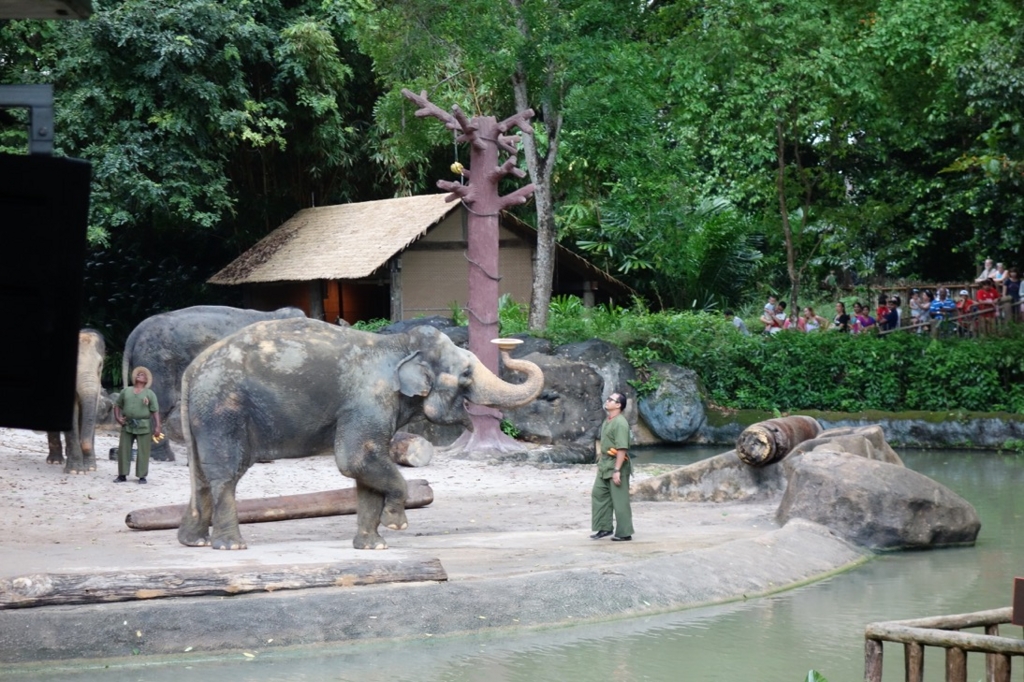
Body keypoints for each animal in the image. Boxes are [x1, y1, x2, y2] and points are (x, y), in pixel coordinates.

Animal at [176, 317, 544, 548]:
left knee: (202, 475)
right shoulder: (370, 399)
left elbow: (364, 470)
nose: (508, 346)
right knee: (226, 473)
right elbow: (356, 459)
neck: (396, 344)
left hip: (203, 416)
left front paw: (373, 546)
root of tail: (191, 371)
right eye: (466, 373)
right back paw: (231, 546)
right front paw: (397, 523)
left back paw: (194, 541)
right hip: (223, 409)